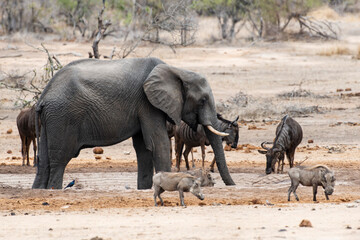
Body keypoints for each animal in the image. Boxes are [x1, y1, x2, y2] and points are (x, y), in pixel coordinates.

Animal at [31, 57, 236, 189]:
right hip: (63, 117)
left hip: (51, 119)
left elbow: (144, 148)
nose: (231, 185)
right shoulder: (147, 103)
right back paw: (54, 189)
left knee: (44, 160)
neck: (177, 70)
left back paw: (39, 190)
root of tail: (44, 96)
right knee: (59, 159)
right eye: (202, 100)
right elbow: (158, 143)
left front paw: (145, 189)